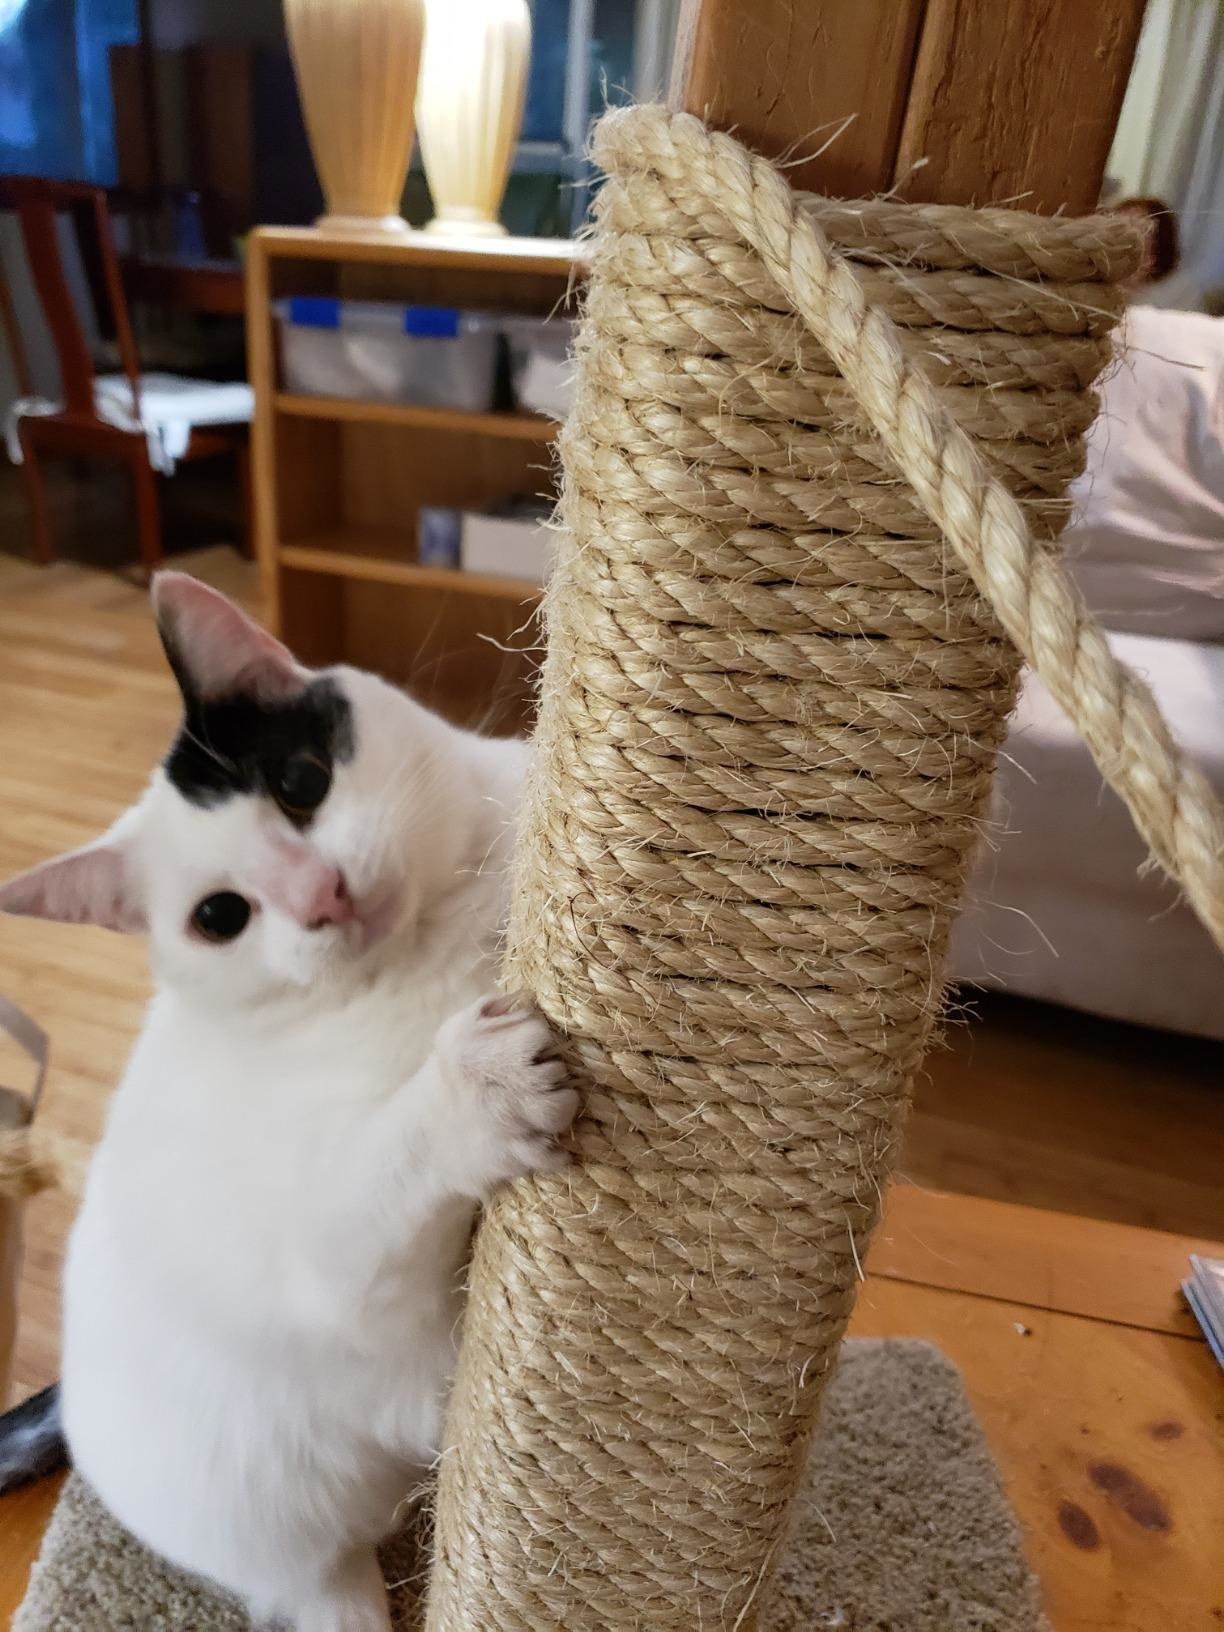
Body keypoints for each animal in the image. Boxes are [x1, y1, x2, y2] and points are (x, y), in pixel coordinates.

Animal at [0, 577, 580, 1632]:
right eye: (221, 917)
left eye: (301, 784)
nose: (323, 895)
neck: (441, 935)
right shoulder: (327, 1257)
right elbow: (389, 1166)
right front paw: (481, 1090)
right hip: (304, 1558)